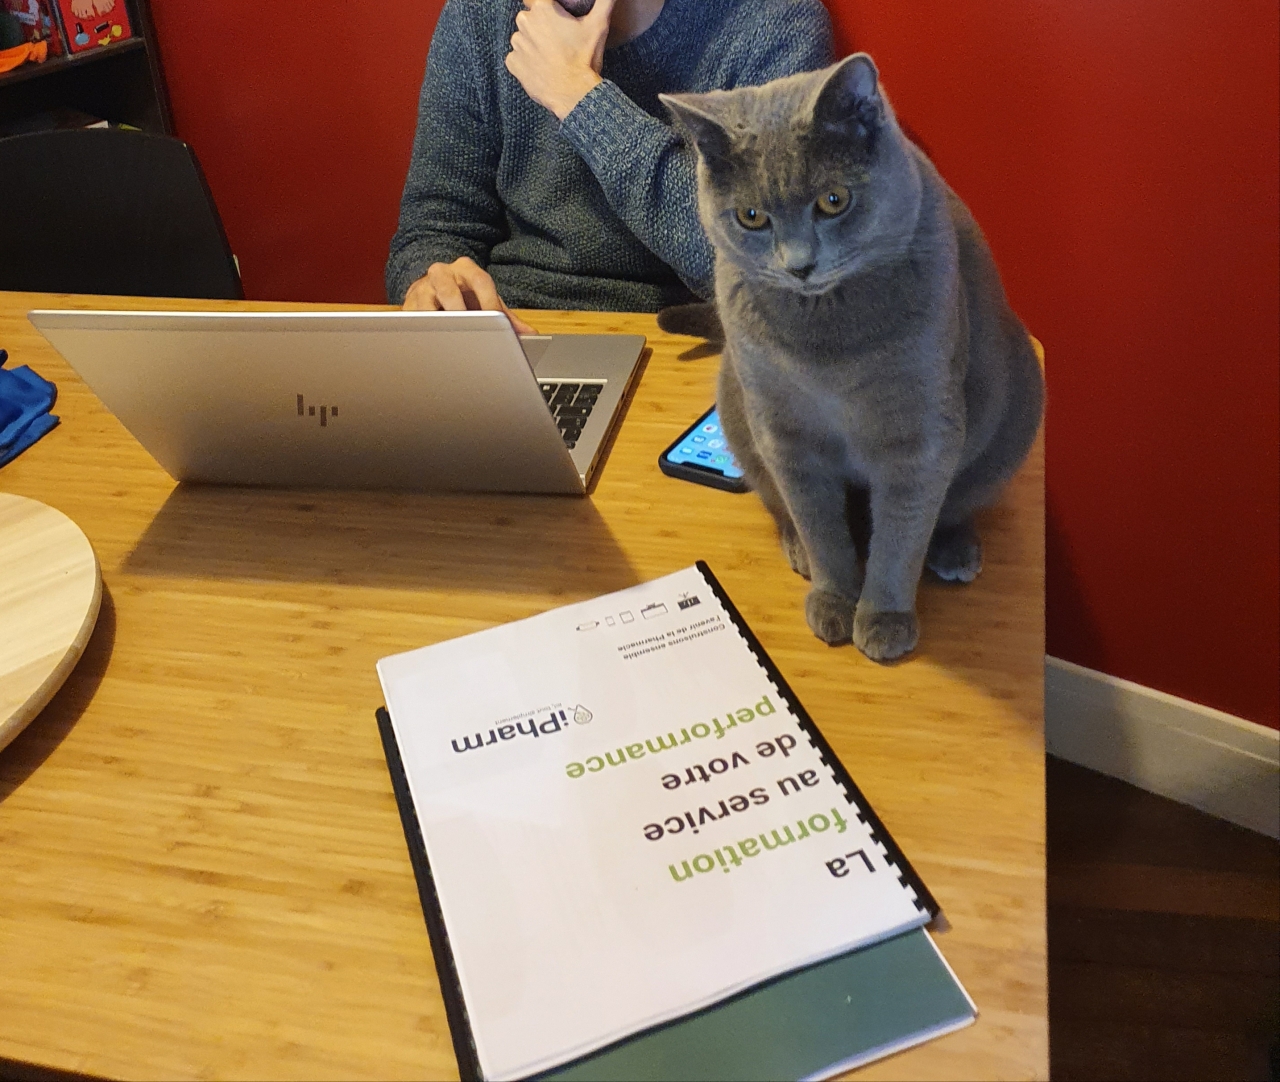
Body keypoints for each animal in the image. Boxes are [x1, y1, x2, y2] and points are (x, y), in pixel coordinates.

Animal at [658, 54, 1044, 662]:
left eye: (833, 201)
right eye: (751, 216)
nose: (799, 265)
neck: (826, 348)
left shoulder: (920, 431)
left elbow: (901, 535)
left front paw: (885, 620)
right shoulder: (783, 427)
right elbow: (819, 523)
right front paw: (834, 598)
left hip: (1016, 405)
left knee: (957, 501)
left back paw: (954, 551)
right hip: (736, 402)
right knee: (777, 499)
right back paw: (796, 548)